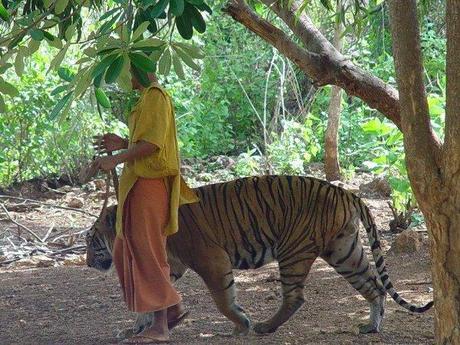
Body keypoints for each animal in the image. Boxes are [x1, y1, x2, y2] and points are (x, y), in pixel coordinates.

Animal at [85, 173, 432, 334]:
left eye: (90, 241)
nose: (87, 263)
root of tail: (345, 191)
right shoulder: (172, 265)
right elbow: (154, 296)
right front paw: (138, 326)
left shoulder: (212, 259)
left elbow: (223, 299)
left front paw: (241, 324)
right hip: (344, 250)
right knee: (374, 286)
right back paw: (372, 326)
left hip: (294, 249)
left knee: (295, 296)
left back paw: (266, 326)